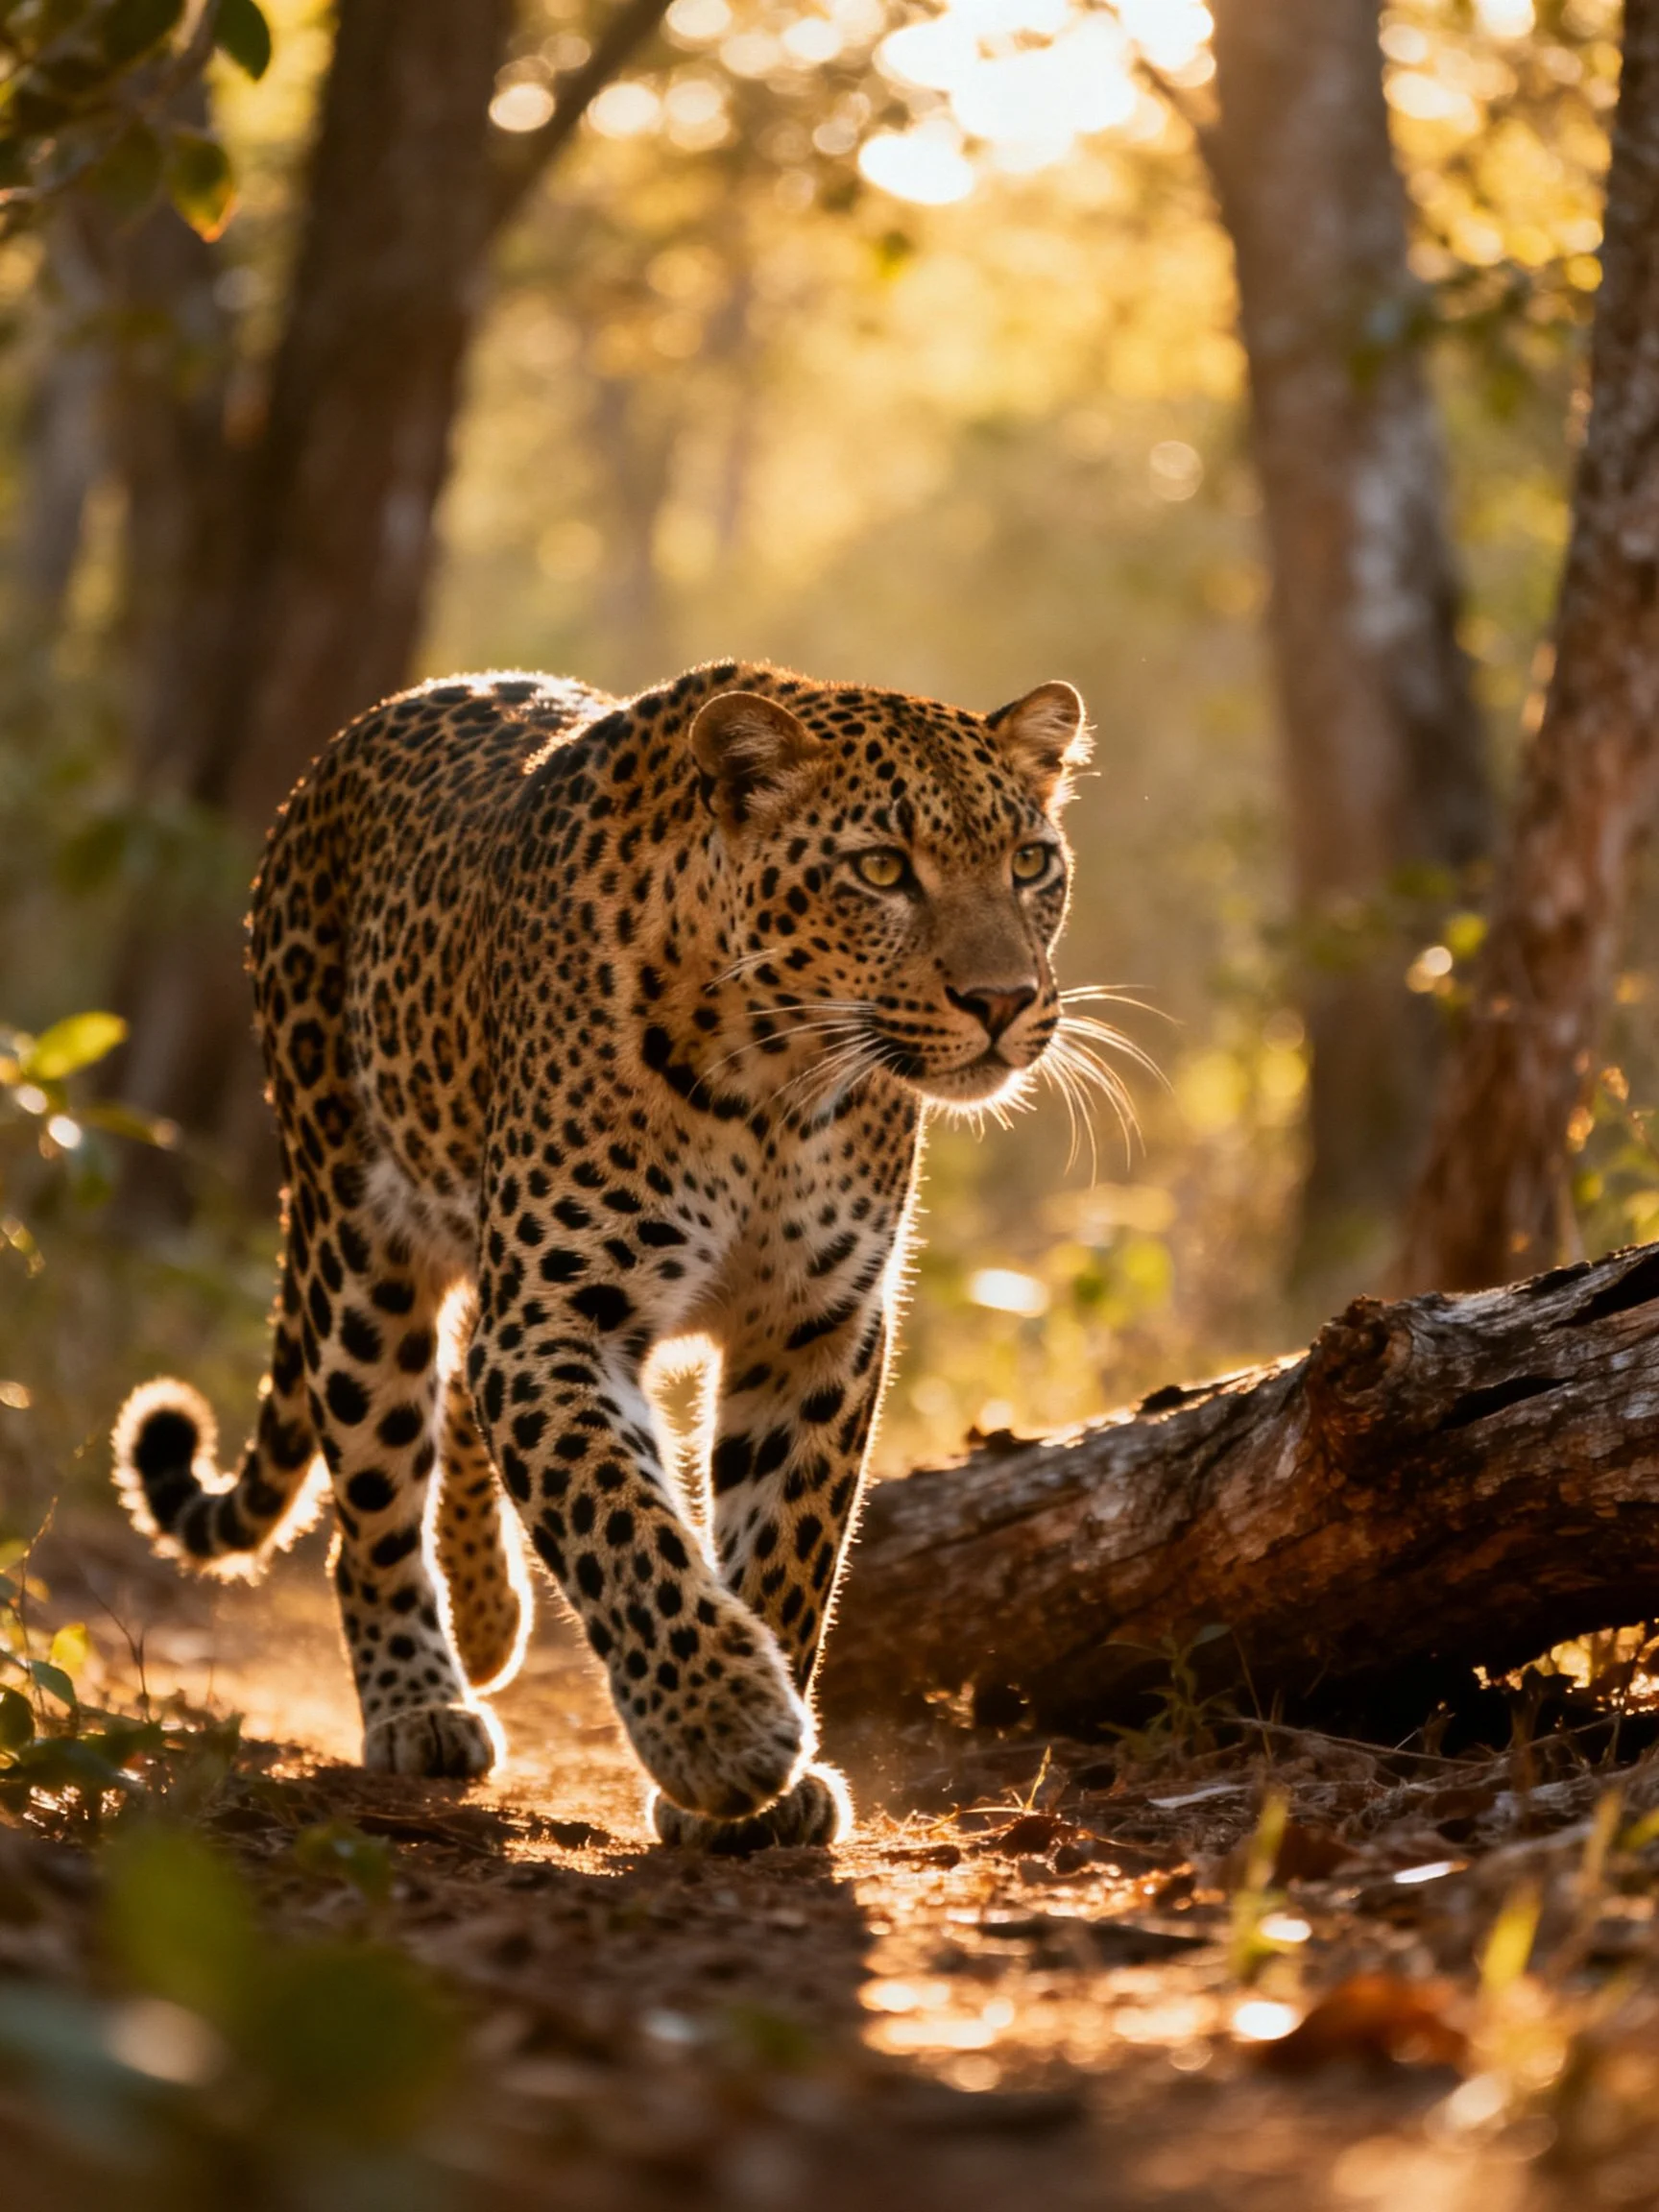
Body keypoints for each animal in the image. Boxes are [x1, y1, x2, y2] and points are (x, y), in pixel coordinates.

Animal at [112, 659, 1091, 1851]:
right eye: (880, 869)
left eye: (1030, 862)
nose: (1004, 1002)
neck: (778, 1081)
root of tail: (357, 736)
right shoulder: (559, 1320)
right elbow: (620, 1522)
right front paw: (723, 1731)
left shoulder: (818, 1326)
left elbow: (787, 1542)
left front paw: (766, 1772)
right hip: (356, 1238)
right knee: (376, 1485)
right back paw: (421, 1701)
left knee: (456, 1391)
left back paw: (488, 1617)